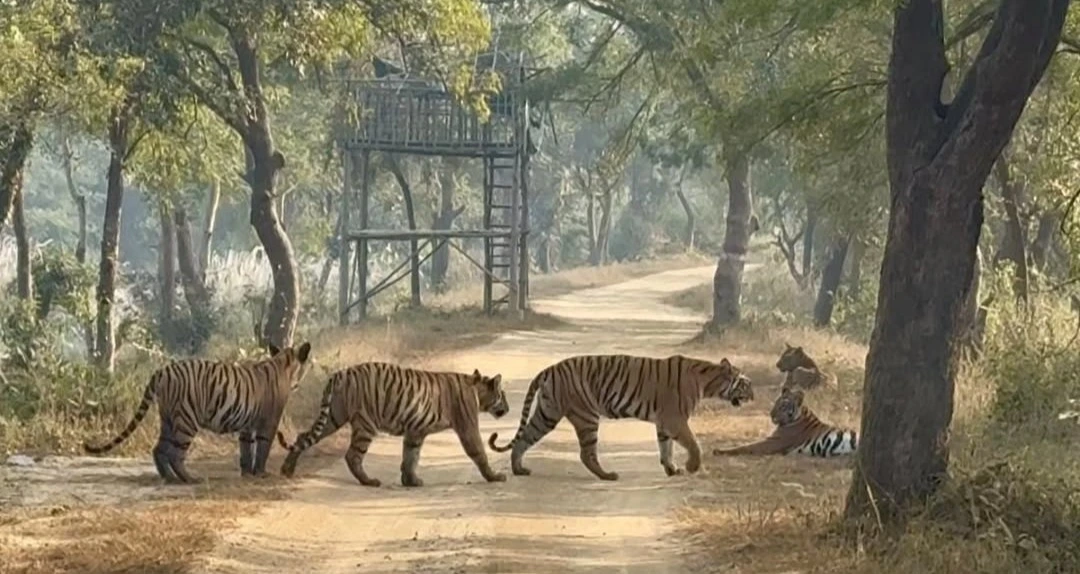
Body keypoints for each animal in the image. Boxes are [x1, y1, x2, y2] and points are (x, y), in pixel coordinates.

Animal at [83, 342, 314, 483]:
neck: (283, 364)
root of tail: (162, 371)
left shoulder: (247, 425)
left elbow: (246, 449)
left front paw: (247, 473)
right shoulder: (269, 422)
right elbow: (263, 448)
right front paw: (261, 473)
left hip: (168, 419)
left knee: (159, 450)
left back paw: (169, 478)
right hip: (187, 420)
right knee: (175, 454)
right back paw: (189, 479)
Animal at [278, 362, 510, 488]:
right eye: (503, 395)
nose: (507, 409)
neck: (477, 390)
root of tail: (340, 373)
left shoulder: (416, 432)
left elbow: (410, 457)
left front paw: (410, 480)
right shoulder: (468, 427)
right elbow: (479, 453)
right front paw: (494, 476)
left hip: (333, 416)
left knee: (302, 437)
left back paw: (287, 469)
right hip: (365, 424)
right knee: (352, 456)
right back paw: (369, 481)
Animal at [487, 354, 753, 481]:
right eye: (744, 382)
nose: (754, 392)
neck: (708, 380)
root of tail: (550, 368)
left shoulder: (664, 422)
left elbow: (665, 447)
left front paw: (672, 469)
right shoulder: (675, 419)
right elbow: (693, 443)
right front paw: (691, 466)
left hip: (547, 413)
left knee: (524, 438)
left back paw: (519, 469)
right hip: (587, 416)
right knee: (586, 453)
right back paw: (608, 476)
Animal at [712, 387, 856, 457]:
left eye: (783, 406)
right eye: (776, 402)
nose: (771, 414)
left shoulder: (774, 441)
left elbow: (747, 446)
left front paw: (720, 450)